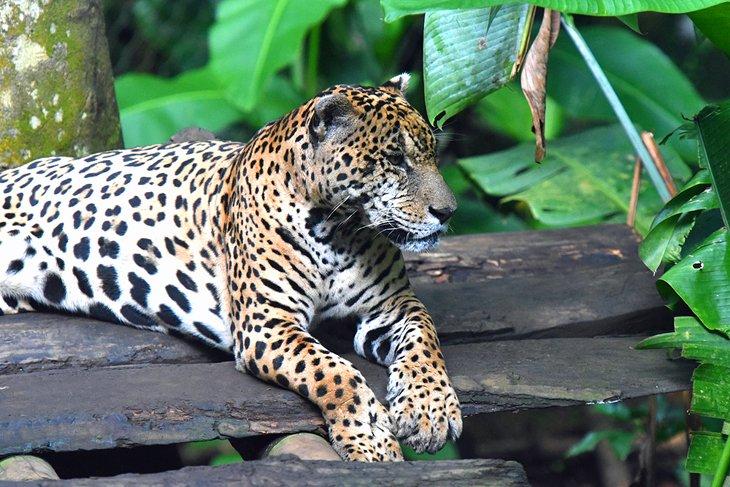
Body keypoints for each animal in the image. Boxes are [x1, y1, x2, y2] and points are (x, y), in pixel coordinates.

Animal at [0, 74, 462, 461]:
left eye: (433, 154)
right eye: (395, 159)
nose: (448, 212)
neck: (339, 231)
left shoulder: (392, 306)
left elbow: (425, 339)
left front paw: (430, 411)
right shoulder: (267, 325)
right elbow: (334, 373)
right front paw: (371, 441)